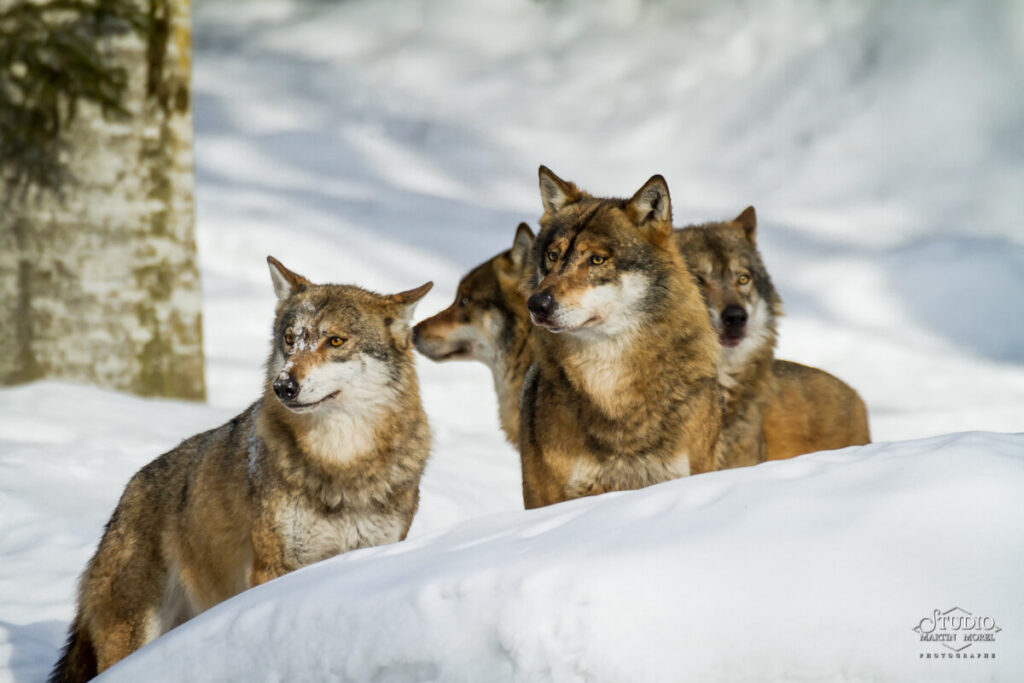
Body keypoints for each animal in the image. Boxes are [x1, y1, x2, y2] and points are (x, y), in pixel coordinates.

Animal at [50, 258, 433, 682]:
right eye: (289, 339)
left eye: (335, 341)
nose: (284, 386)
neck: (340, 464)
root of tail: (124, 498)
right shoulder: (276, 567)